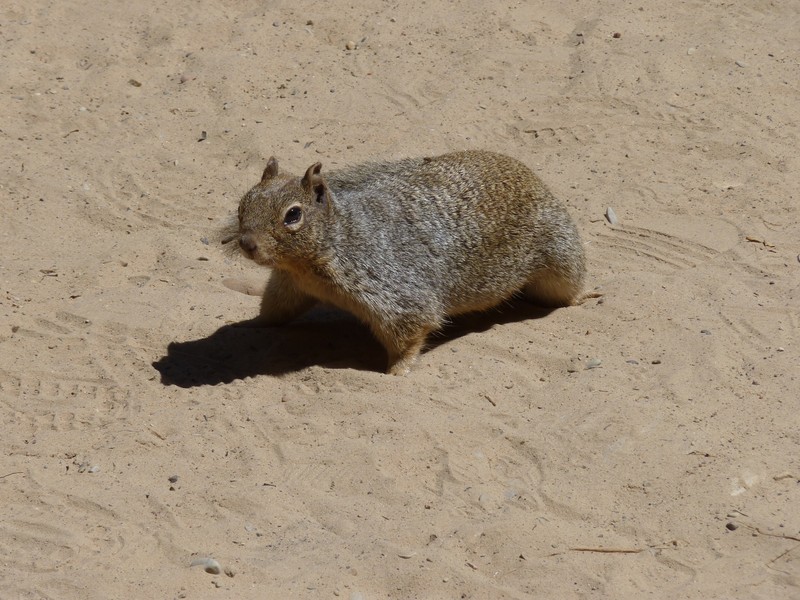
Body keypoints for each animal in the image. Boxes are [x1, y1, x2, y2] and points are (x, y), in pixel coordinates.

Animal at [222, 150, 590, 375]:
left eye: (293, 215)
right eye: (243, 203)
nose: (246, 243)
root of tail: (525, 171)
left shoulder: (395, 293)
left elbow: (411, 333)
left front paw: (396, 371)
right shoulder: (289, 285)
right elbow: (275, 310)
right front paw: (250, 324)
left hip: (560, 261)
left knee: (567, 291)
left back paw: (584, 296)